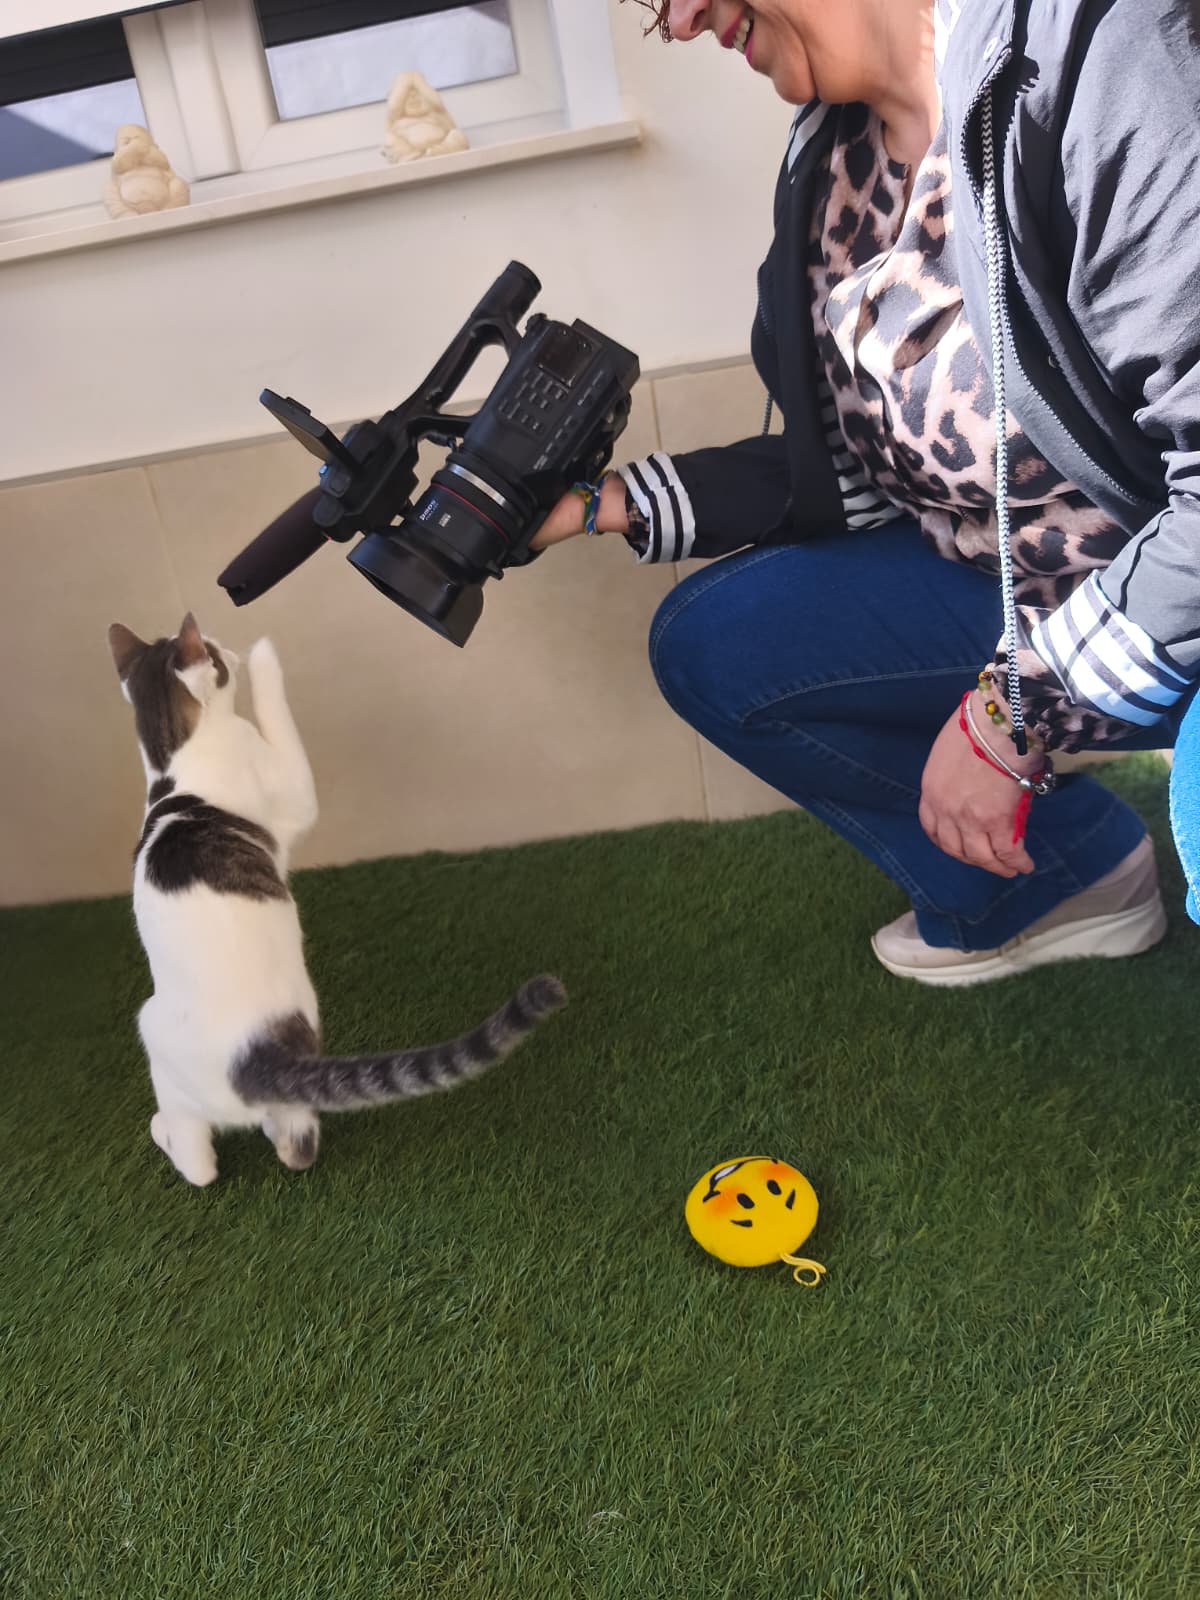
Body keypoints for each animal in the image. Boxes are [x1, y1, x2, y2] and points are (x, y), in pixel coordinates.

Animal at [107, 613, 566, 1187]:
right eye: (211, 648)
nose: (228, 649)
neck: (173, 764)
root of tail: (258, 1060)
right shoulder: (287, 784)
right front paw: (263, 656)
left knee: (295, 1146)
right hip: (154, 1033)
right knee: (202, 1166)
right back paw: (164, 1131)